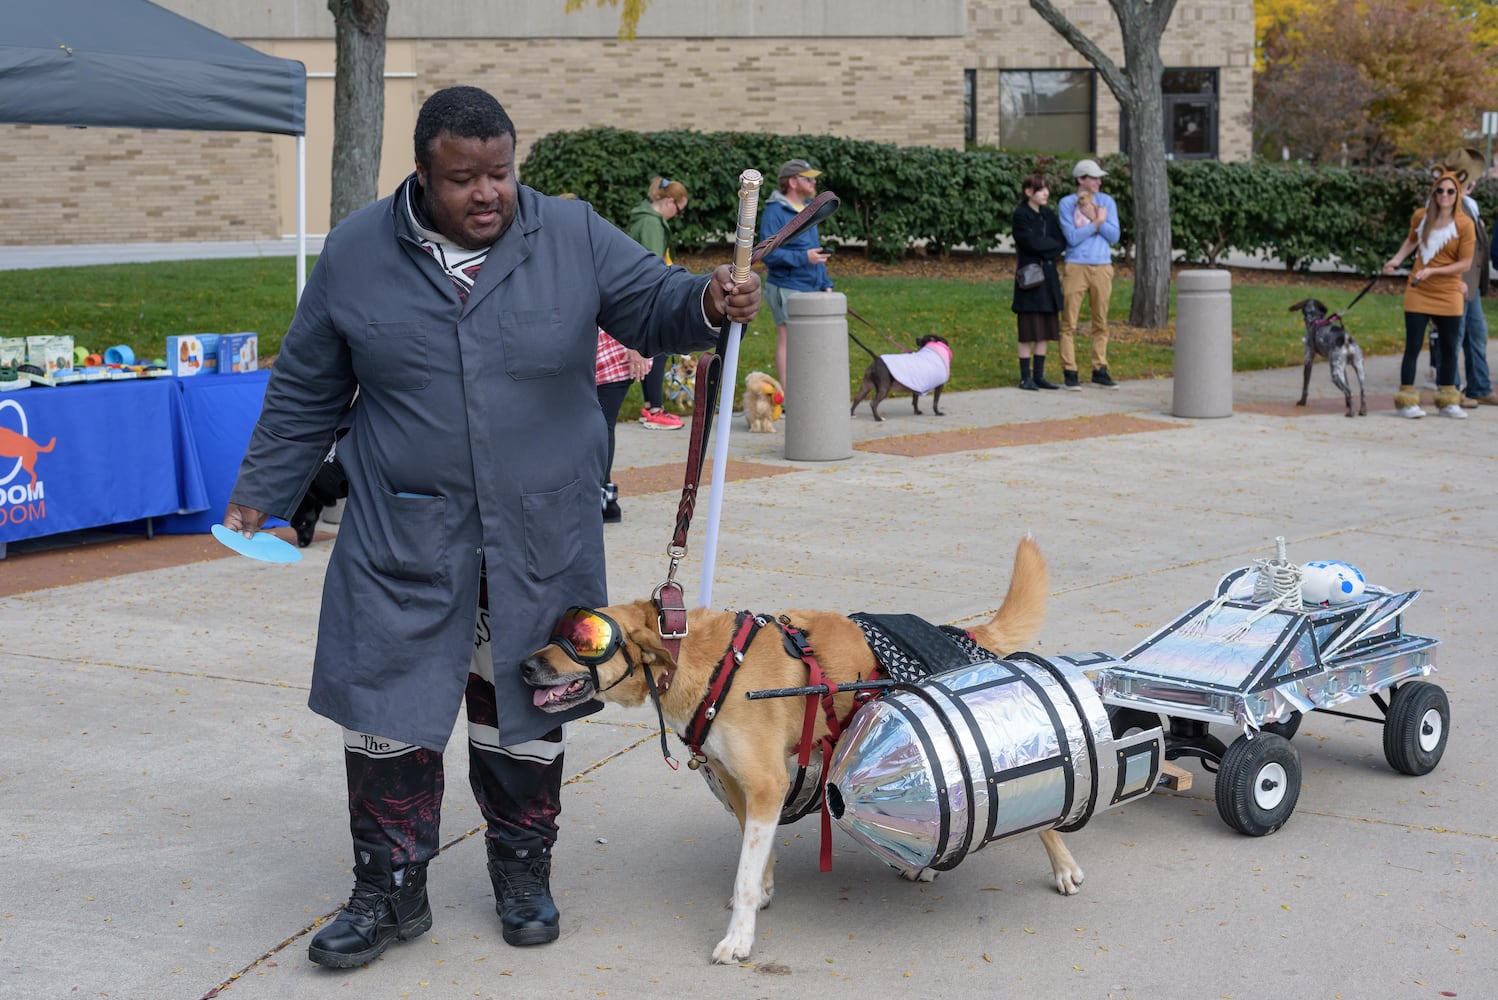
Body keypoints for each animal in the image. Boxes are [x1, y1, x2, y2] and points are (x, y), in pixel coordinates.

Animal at [521, 538, 1072, 970]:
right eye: (554, 634)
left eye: (582, 640)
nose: (525, 666)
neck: (696, 660)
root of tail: (964, 634)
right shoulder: (740, 784)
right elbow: (754, 851)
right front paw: (763, 891)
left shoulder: (767, 783)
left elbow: (743, 872)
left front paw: (739, 938)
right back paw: (926, 866)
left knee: (1044, 818)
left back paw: (1064, 867)